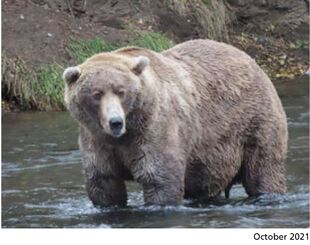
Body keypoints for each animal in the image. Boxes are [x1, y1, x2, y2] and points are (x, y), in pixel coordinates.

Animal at [63, 38, 288, 207]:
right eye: (97, 94)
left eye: (121, 91)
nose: (115, 122)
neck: (127, 132)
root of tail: (252, 60)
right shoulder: (97, 140)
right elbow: (104, 183)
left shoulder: (156, 129)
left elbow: (160, 180)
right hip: (212, 156)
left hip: (254, 122)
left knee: (264, 170)